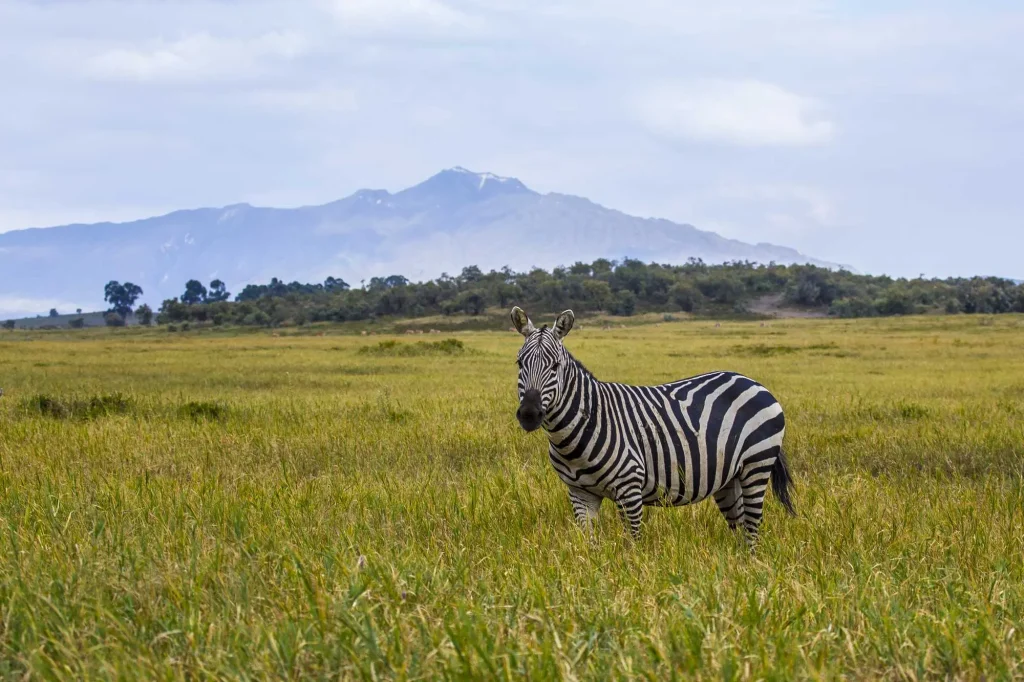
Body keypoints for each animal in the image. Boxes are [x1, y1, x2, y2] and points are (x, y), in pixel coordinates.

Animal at [511, 306, 795, 548]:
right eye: (519, 363)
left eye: (555, 366)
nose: (529, 414)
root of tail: (753, 382)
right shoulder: (580, 493)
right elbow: (589, 545)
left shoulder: (629, 487)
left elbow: (633, 544)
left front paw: (630, 574)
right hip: (730, 478)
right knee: (741, 529)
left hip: (756, 465)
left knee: (752, 528)